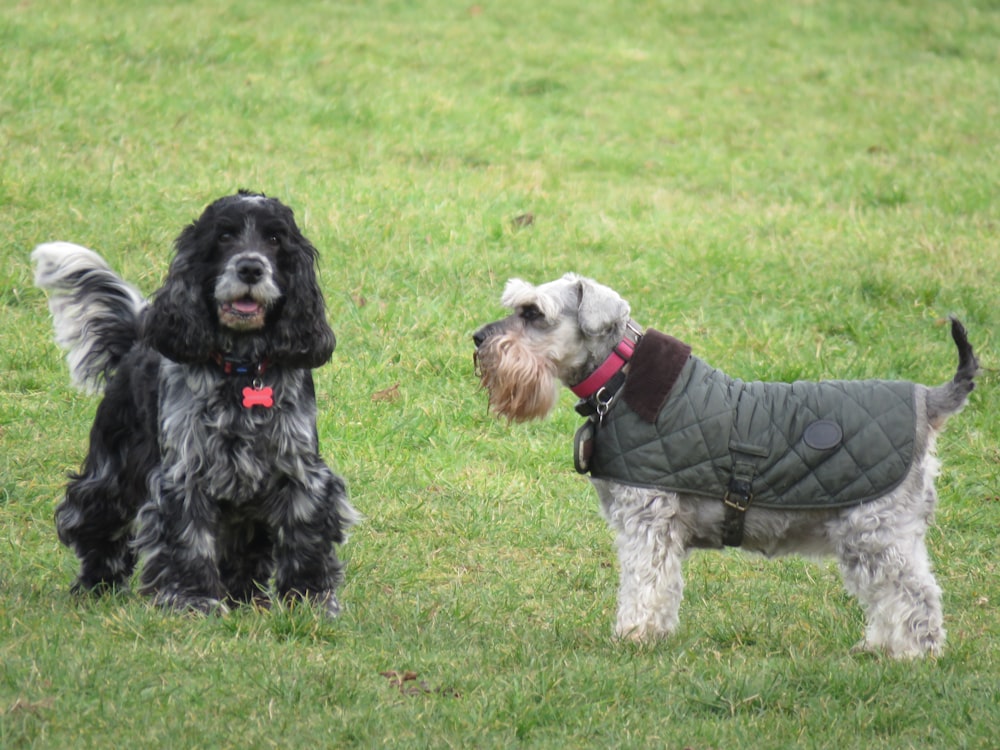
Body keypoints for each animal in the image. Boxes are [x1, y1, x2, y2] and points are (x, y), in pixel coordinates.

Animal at [32, 192, 360, 616]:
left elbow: (305, 535)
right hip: (114, 468)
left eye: (275, 239)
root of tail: (138, 339)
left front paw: (311, 599)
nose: (251, 267)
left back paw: (246, 599)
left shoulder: (299, 471)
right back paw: (96, 584)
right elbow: (188, 540)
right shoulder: (185, 473)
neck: (242, 370)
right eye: (224, 236)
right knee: (94, 520)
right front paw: (192, 599)